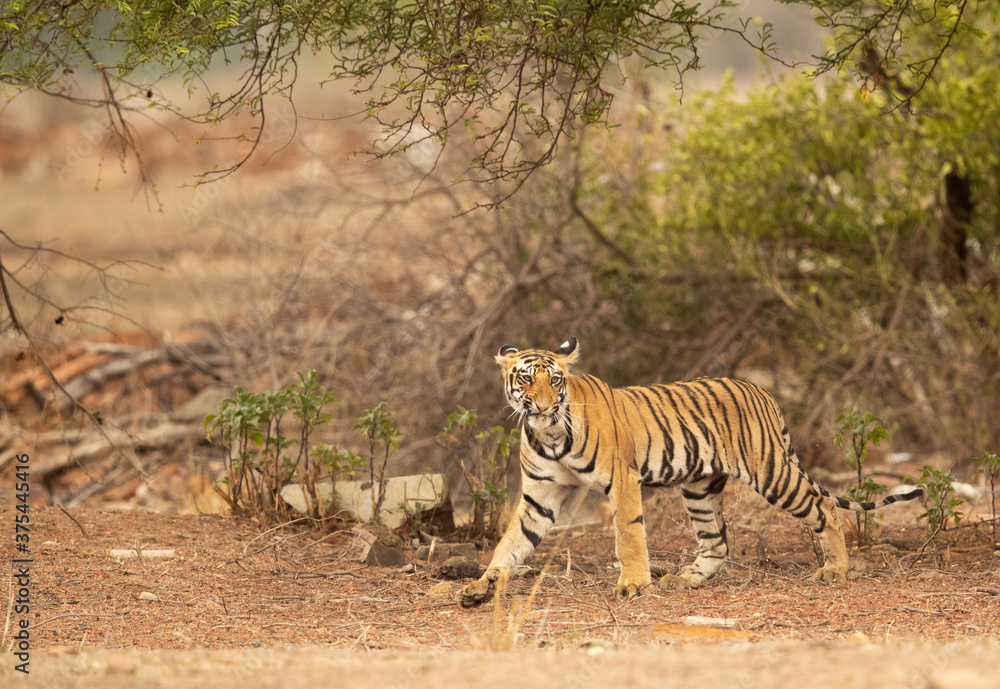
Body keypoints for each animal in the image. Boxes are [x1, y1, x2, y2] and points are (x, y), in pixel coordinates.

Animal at [457, 337, 922, 608]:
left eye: (555, 381)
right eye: (525, 379)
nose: (542, 405)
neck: (549, 432)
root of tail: (763, 390)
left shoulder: (622, 479)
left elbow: (628, 534)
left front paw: (633, 585)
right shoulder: (540, 494)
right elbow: (511, 543)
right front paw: (483, 585)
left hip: (772, 473)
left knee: (824, 507)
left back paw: (836, 569)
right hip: (699, 488)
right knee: (717, 542)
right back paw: (686, 580)